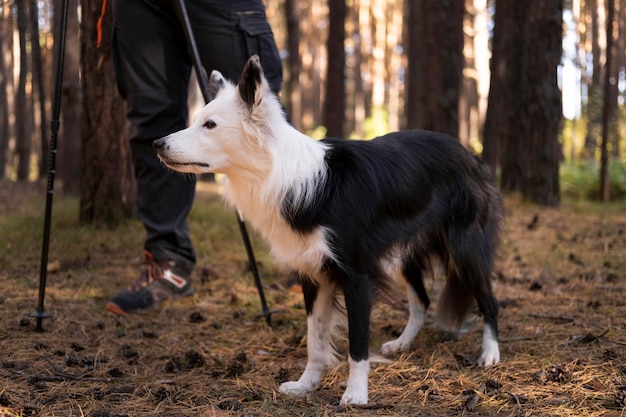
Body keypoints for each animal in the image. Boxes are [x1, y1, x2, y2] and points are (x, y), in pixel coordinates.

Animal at [155, 54, 502, 404]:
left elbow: (357, 344)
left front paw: (356, 394)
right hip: (404, 254)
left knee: (488, 300)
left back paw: (490, 354)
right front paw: (306, 384)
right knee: (421, 301)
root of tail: (467, 152)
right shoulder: (313, 274)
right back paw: (403, 343)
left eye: (210, 125)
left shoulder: (357, 276)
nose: (157, 143)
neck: (282, 175)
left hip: (465, 248)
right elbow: (315, 339)